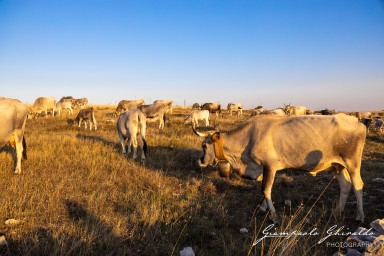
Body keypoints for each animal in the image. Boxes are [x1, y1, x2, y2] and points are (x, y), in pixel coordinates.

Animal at [195, 115, 366, 223]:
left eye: (204, 146)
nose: (201, 160)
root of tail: (357, 121)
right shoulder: (264, 168)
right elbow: (264, 188)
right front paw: (264, 207)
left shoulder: (270, 165)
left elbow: (265, 188)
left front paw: (273, 214)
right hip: (337, 165)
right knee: (345, 185)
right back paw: (338, 211)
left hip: (352, 163)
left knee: (358, 186)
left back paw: (360, 216)